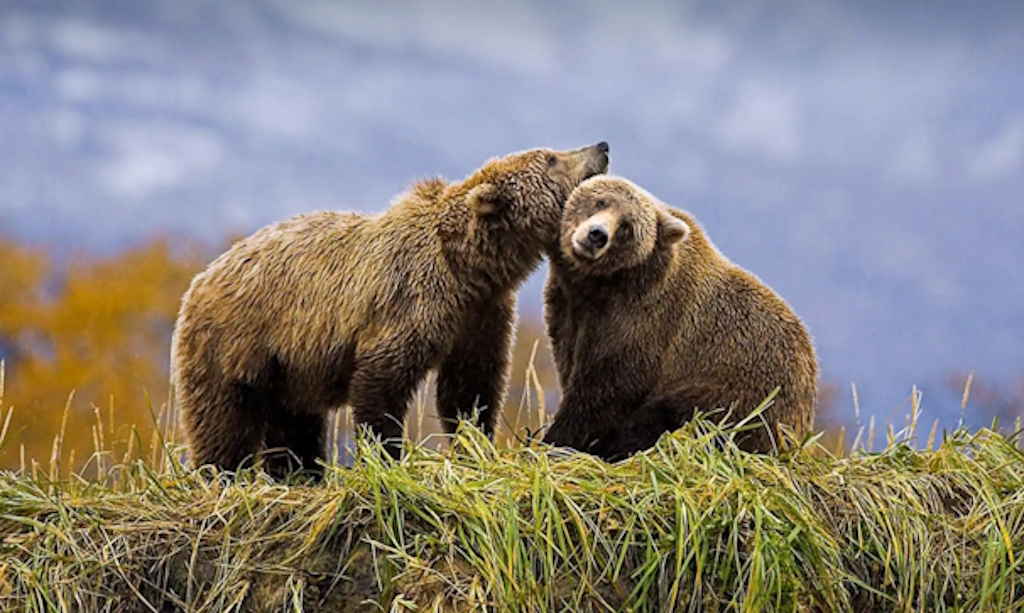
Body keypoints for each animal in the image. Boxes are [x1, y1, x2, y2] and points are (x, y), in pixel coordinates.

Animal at [171, 142, 610, 477]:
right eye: (551, 157)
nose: (601, 147)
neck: (468, 267)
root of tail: (201, 278)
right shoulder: (411, 301)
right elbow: (382, 382)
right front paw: (388, 455)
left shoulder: (480, 315)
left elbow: (470, 386)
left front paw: (476, 442)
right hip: (236, 345)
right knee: (224, 421)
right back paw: (224, 472)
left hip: (290, 368)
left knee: (295, 424)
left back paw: (301, 472)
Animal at [541, 175, 818, 461]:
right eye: (600, 201)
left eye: (627, 227)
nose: (597, 234)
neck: (603, 286)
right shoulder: (571, 311)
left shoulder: (641, 324)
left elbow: (604, 390)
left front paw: (557, 441)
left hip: (743, 391)